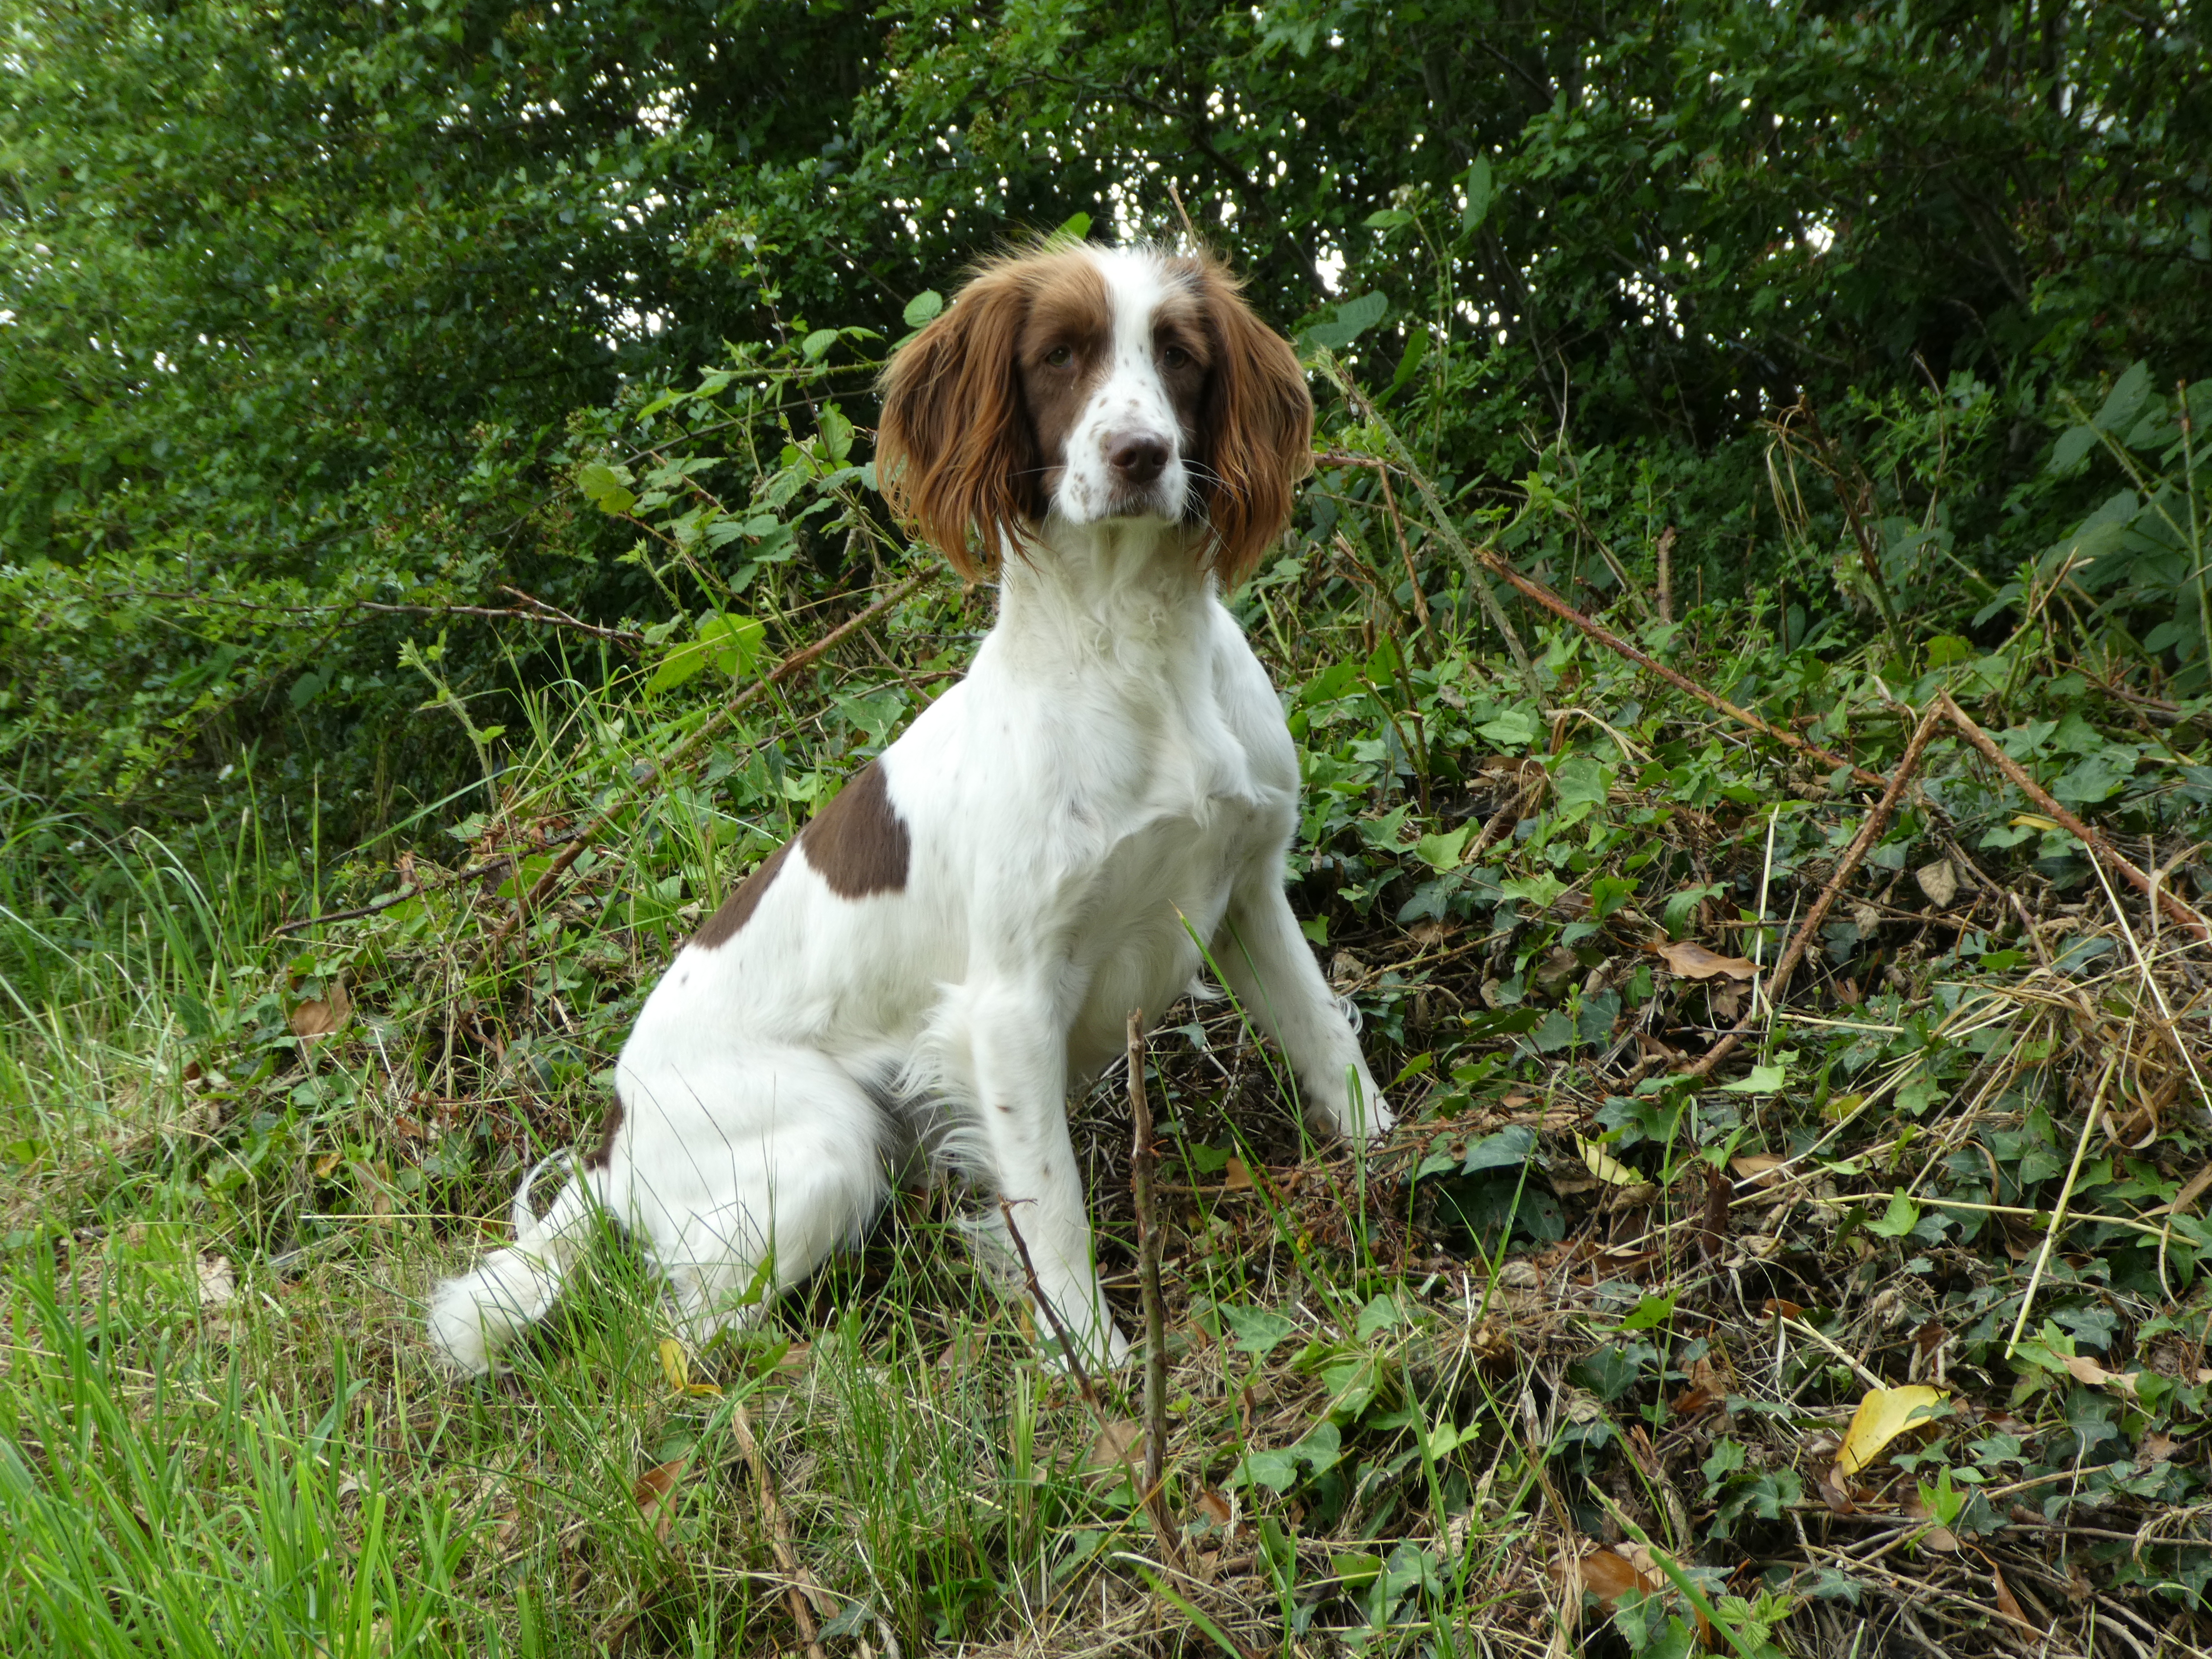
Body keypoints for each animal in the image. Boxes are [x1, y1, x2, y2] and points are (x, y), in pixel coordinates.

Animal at [426, 236, 1398, 1380]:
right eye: (1059, 356)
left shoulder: (1248, 891)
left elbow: (1328, 1042)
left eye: (1179, 355)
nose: (1141, 454)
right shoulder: (1009, 1002)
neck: (1131, 653)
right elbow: (1052, 1207)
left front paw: (1399, 1166)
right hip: (823, 1147)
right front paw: (1097, 1363)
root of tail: (616, 1140)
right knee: (675, 1337)